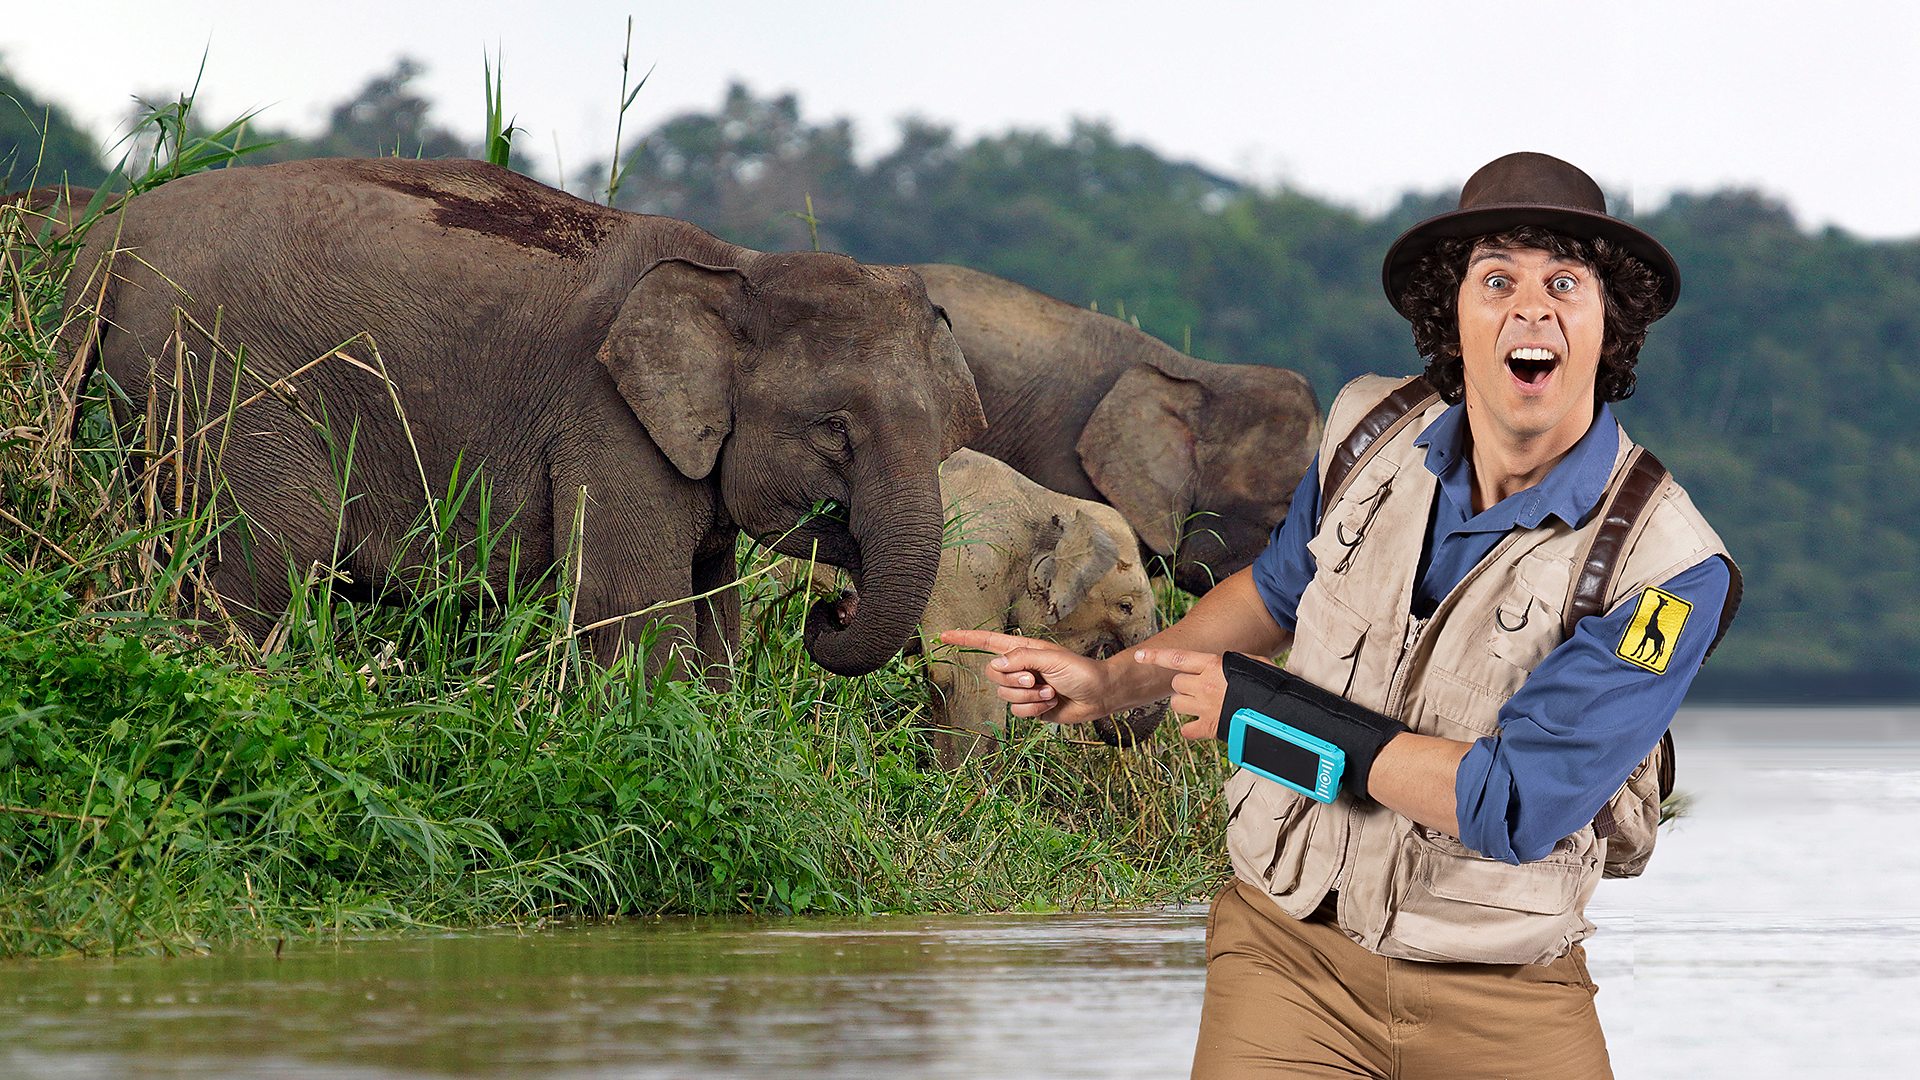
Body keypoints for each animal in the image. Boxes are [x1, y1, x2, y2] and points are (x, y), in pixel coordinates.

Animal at [65, 158, 983, 672]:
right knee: (276, 549)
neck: (737, 263)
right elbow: (633, 605)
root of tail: (109, 240)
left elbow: (712, 618)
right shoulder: (606, 417)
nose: (836, 610)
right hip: (223, 381)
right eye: (835, 430)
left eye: (949, 442)